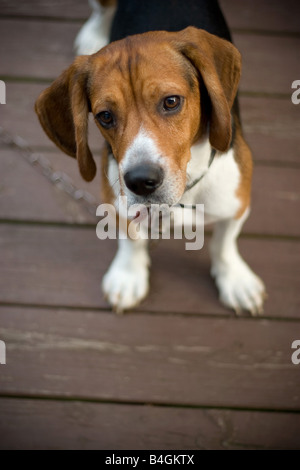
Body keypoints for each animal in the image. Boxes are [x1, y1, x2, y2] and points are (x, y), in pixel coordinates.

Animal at [34, 1, 266, 316]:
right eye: (105, 116)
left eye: (171, 102)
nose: (141, 182)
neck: (183, 196)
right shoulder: (118, 204)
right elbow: (130, 239)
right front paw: (128, 275)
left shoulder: (236, 205)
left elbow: (224, 244)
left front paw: (235, 280)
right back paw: (94, 34)